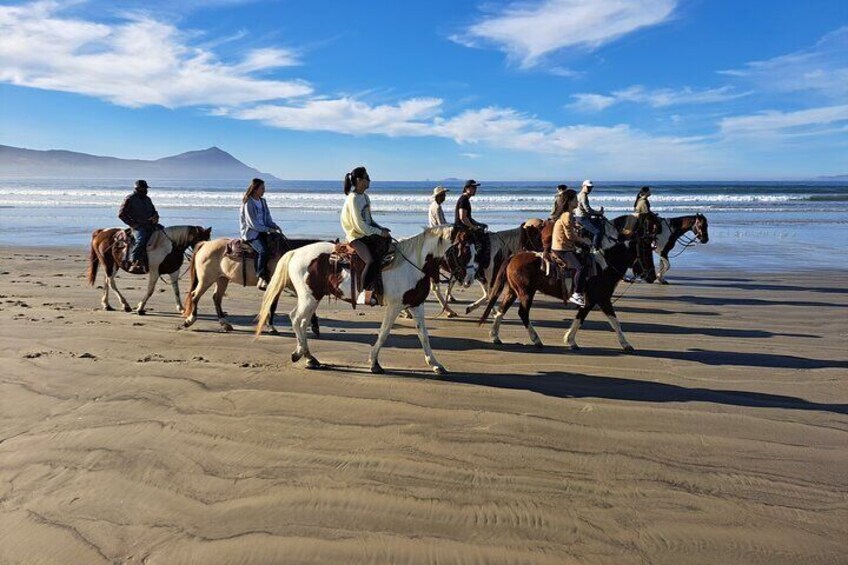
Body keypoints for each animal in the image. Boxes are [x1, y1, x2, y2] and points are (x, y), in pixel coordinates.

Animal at [181, 235, 322, 332]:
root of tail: (205, 244)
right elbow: (273, 305)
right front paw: (271, 327)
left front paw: (315, 326)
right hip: (206, 279)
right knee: (195, 296)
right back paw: (190, 320)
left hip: (222, 279)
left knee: (216, 298)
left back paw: (225, 323)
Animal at [255, 225, 480, 374]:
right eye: (463, 250)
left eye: (474, 250)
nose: (469, 278)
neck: (413, 264)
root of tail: (294, 252)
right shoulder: (395, 306)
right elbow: (384, 332)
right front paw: (374, 363)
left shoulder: (416, 305)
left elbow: (423, 335)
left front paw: (435, 364)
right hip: (309, 297)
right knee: (295, 319)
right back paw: (300, 353)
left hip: (313, 298)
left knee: (302, 322)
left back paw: (310, 357)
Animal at [480, 214, 660, 350]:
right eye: (645, 252)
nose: (652, 276)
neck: (605, 266)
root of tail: (514, 257)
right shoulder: (600, 299)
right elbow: (613, 321)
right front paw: (626, 344)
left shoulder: (592, 300)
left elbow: (581, 317)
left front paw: (570, 340)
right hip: (526, 292)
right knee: (522, 313)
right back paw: (536, 339)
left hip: (513, 291)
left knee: (501, 310)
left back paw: (495, 336)